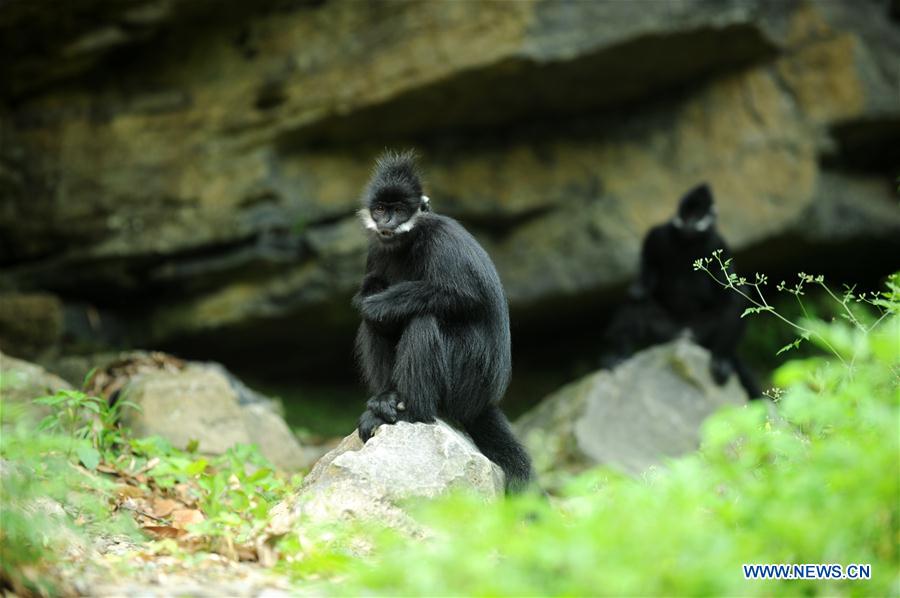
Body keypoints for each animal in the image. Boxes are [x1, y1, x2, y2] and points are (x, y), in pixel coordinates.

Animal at [352, 152, 536, 494]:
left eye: (398, 210)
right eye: (381, 209)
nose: (386, 222)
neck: (409, 241)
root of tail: (483, 402)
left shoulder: (442, 239)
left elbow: (465, 295)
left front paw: (377, 302)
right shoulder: (375, 250)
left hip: (467, 379)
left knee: (423, 319)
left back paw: (413, 411)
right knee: (377, 325)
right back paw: (387, 399)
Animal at [604, 183, 760, 398]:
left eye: (697, 216)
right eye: (685, 215)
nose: (688, 225)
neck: (688, 243)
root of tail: (684, 334)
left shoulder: (718, 242)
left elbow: (732, 291)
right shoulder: (658, 234)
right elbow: (647, 266)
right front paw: (643, 285)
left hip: (701, 334)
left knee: (734, 301)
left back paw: (721, 358)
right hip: (664, 333)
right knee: (636, 302)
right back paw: (620, 354)